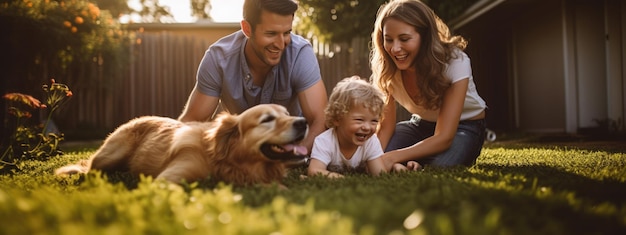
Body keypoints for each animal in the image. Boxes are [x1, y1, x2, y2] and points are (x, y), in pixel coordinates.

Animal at [54, 103, 308, 186]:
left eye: (287, 113)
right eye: (267, 119)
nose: (303, 122)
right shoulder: (168, 179)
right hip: (108, 157)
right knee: (88, 169)